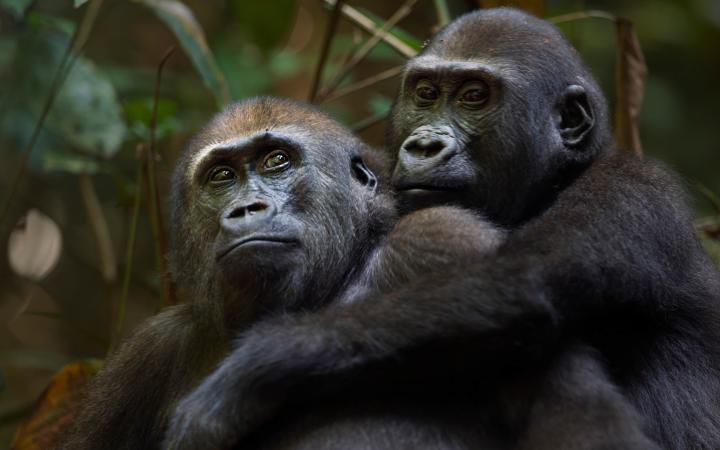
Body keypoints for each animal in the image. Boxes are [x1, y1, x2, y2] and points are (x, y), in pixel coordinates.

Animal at [164, 8, 720, 450]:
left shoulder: (633, 192)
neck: (560, 177)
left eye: (474, 96)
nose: (424, 145)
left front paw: (258, 366)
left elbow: (524, 285)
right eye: (426, 94)